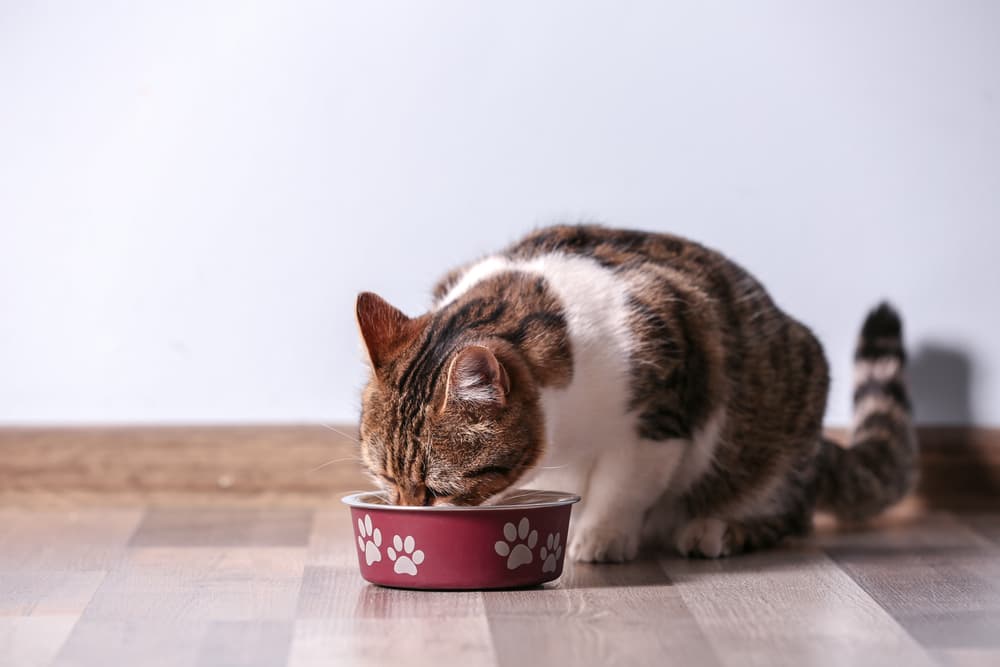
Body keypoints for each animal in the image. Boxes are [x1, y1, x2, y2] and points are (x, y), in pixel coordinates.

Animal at [352, 226, 916, 564]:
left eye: (438, 489)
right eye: (385, 477)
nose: (405, 515)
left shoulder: (660, 415)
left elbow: (622, 487)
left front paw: (599, 538)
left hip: (778, 429)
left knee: (790, 514)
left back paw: (716, 530)